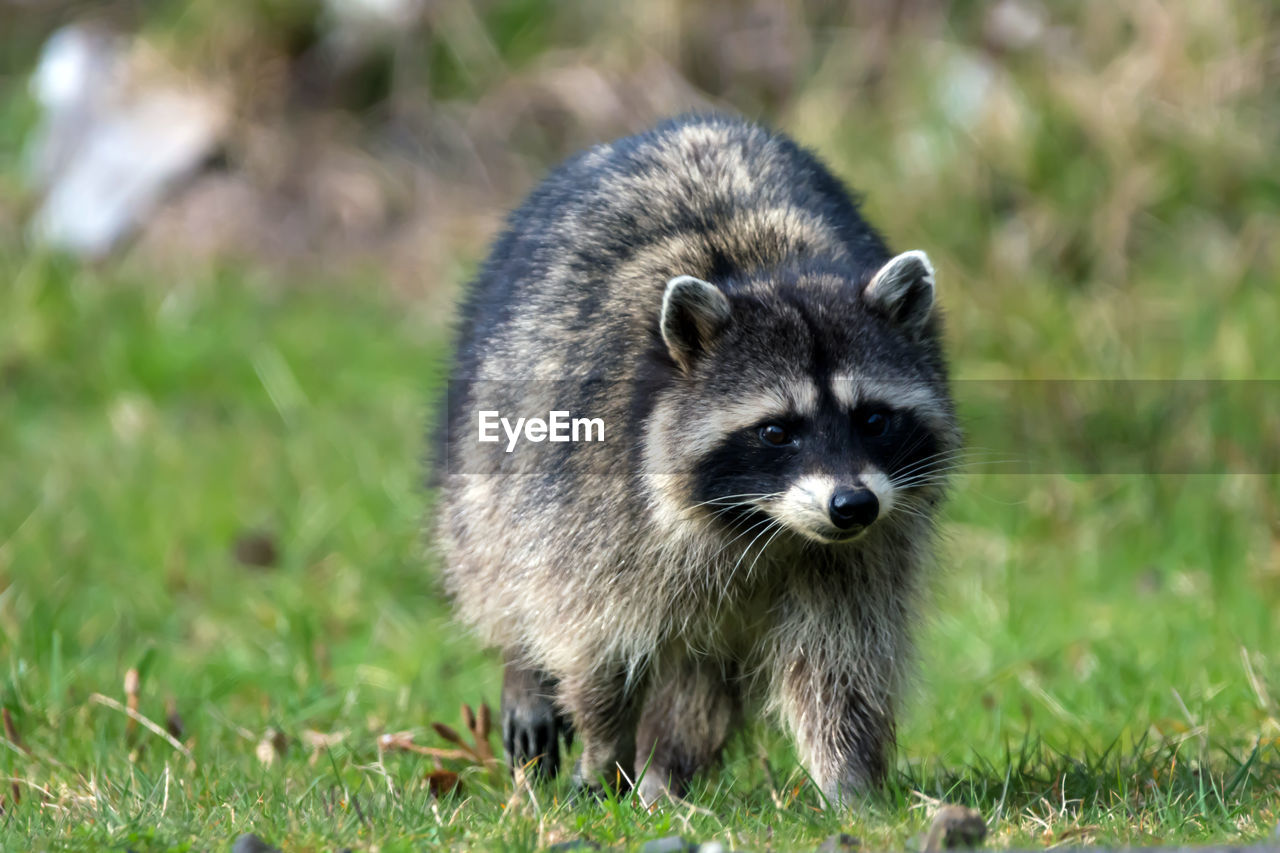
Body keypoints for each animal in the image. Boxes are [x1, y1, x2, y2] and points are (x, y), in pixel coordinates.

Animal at [435, 114, 957, 804]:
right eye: (775, 432)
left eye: (872, 419)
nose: (852, 505)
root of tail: (693, 123)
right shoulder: (595, 507)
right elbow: (595, 644)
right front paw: (602, 750)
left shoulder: (865, 551)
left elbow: (840, 659)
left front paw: (848, 781)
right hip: (489, 440)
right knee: (496, 558)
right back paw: (532, 680)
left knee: (701, 678)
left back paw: (666, 773)